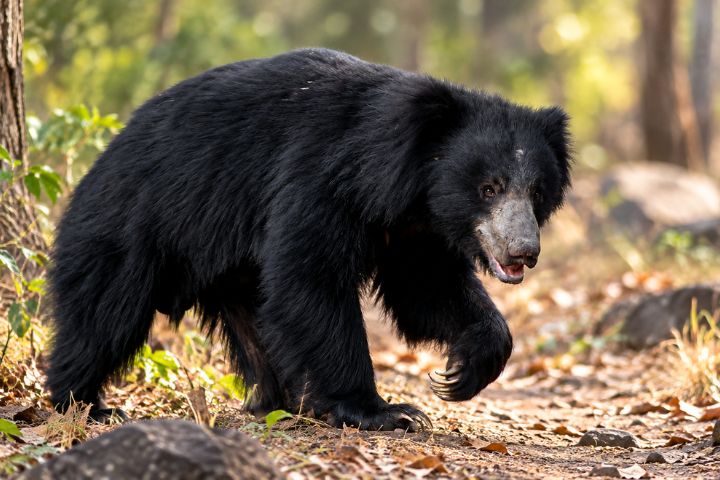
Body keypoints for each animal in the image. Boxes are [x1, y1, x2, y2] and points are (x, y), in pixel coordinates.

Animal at [47, 48, 571, 431]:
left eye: (536, 191)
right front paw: (386, 411)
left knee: (255, 323)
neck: (404, 185)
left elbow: (427, 290)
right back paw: (85, 404)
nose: (524, 252)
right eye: (489, 188)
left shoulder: (414, 230)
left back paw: (282, 402)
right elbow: (311, 280)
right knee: (103, 314)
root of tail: (105, 153)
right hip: (132, 226)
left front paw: (461, 373)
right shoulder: (320, 180)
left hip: (230, 269)